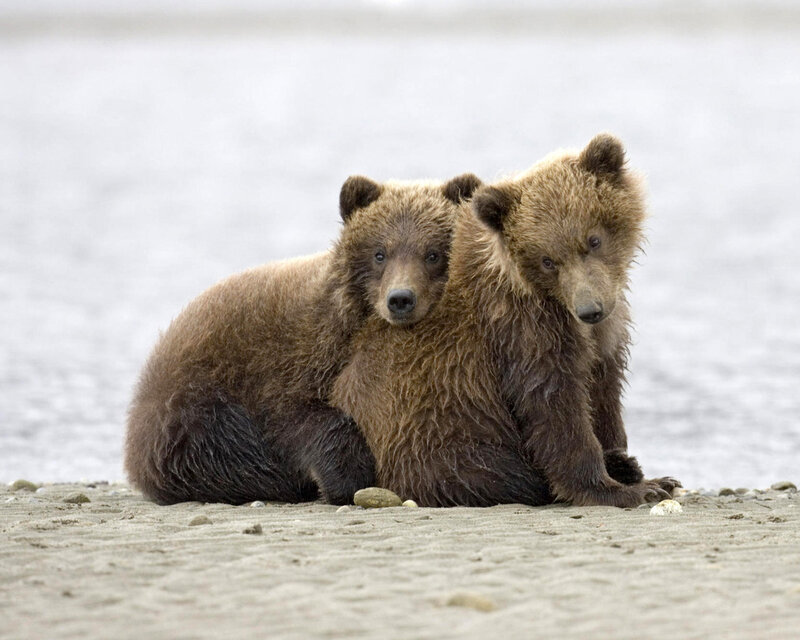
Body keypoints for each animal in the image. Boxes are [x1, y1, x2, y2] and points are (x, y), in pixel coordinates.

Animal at [124, 172, 483, 505]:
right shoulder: (288, 361)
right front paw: (347, 478)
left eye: (433, 253)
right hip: (189, 407)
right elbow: (300, 420)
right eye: (380, 253)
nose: (400, 299)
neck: (350, 323)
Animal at [331, 134, 680, 508]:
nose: (590, 309)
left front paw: (629, 462)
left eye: (593, 239)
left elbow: (603, 390)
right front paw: (625, 488)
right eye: (547, 260)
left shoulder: (605, 332)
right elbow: (554, 406)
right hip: (434, 433)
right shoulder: (522, 328)